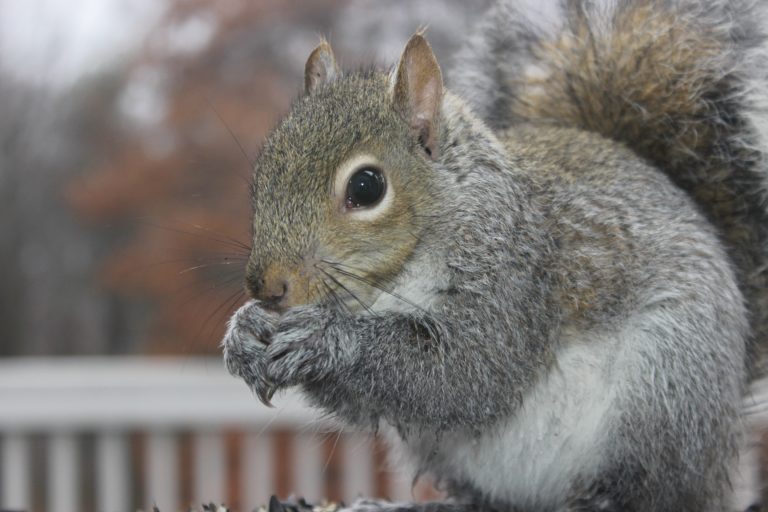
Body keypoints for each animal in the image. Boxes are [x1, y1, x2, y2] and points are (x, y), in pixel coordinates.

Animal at [222, 0, 768, 510]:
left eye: (366, 186)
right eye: (263, 171)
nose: (267, 286)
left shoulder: (517, 279)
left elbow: (468, 372)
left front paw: (326, 339)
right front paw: (246, 331)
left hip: (668, 387)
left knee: (655, 488)